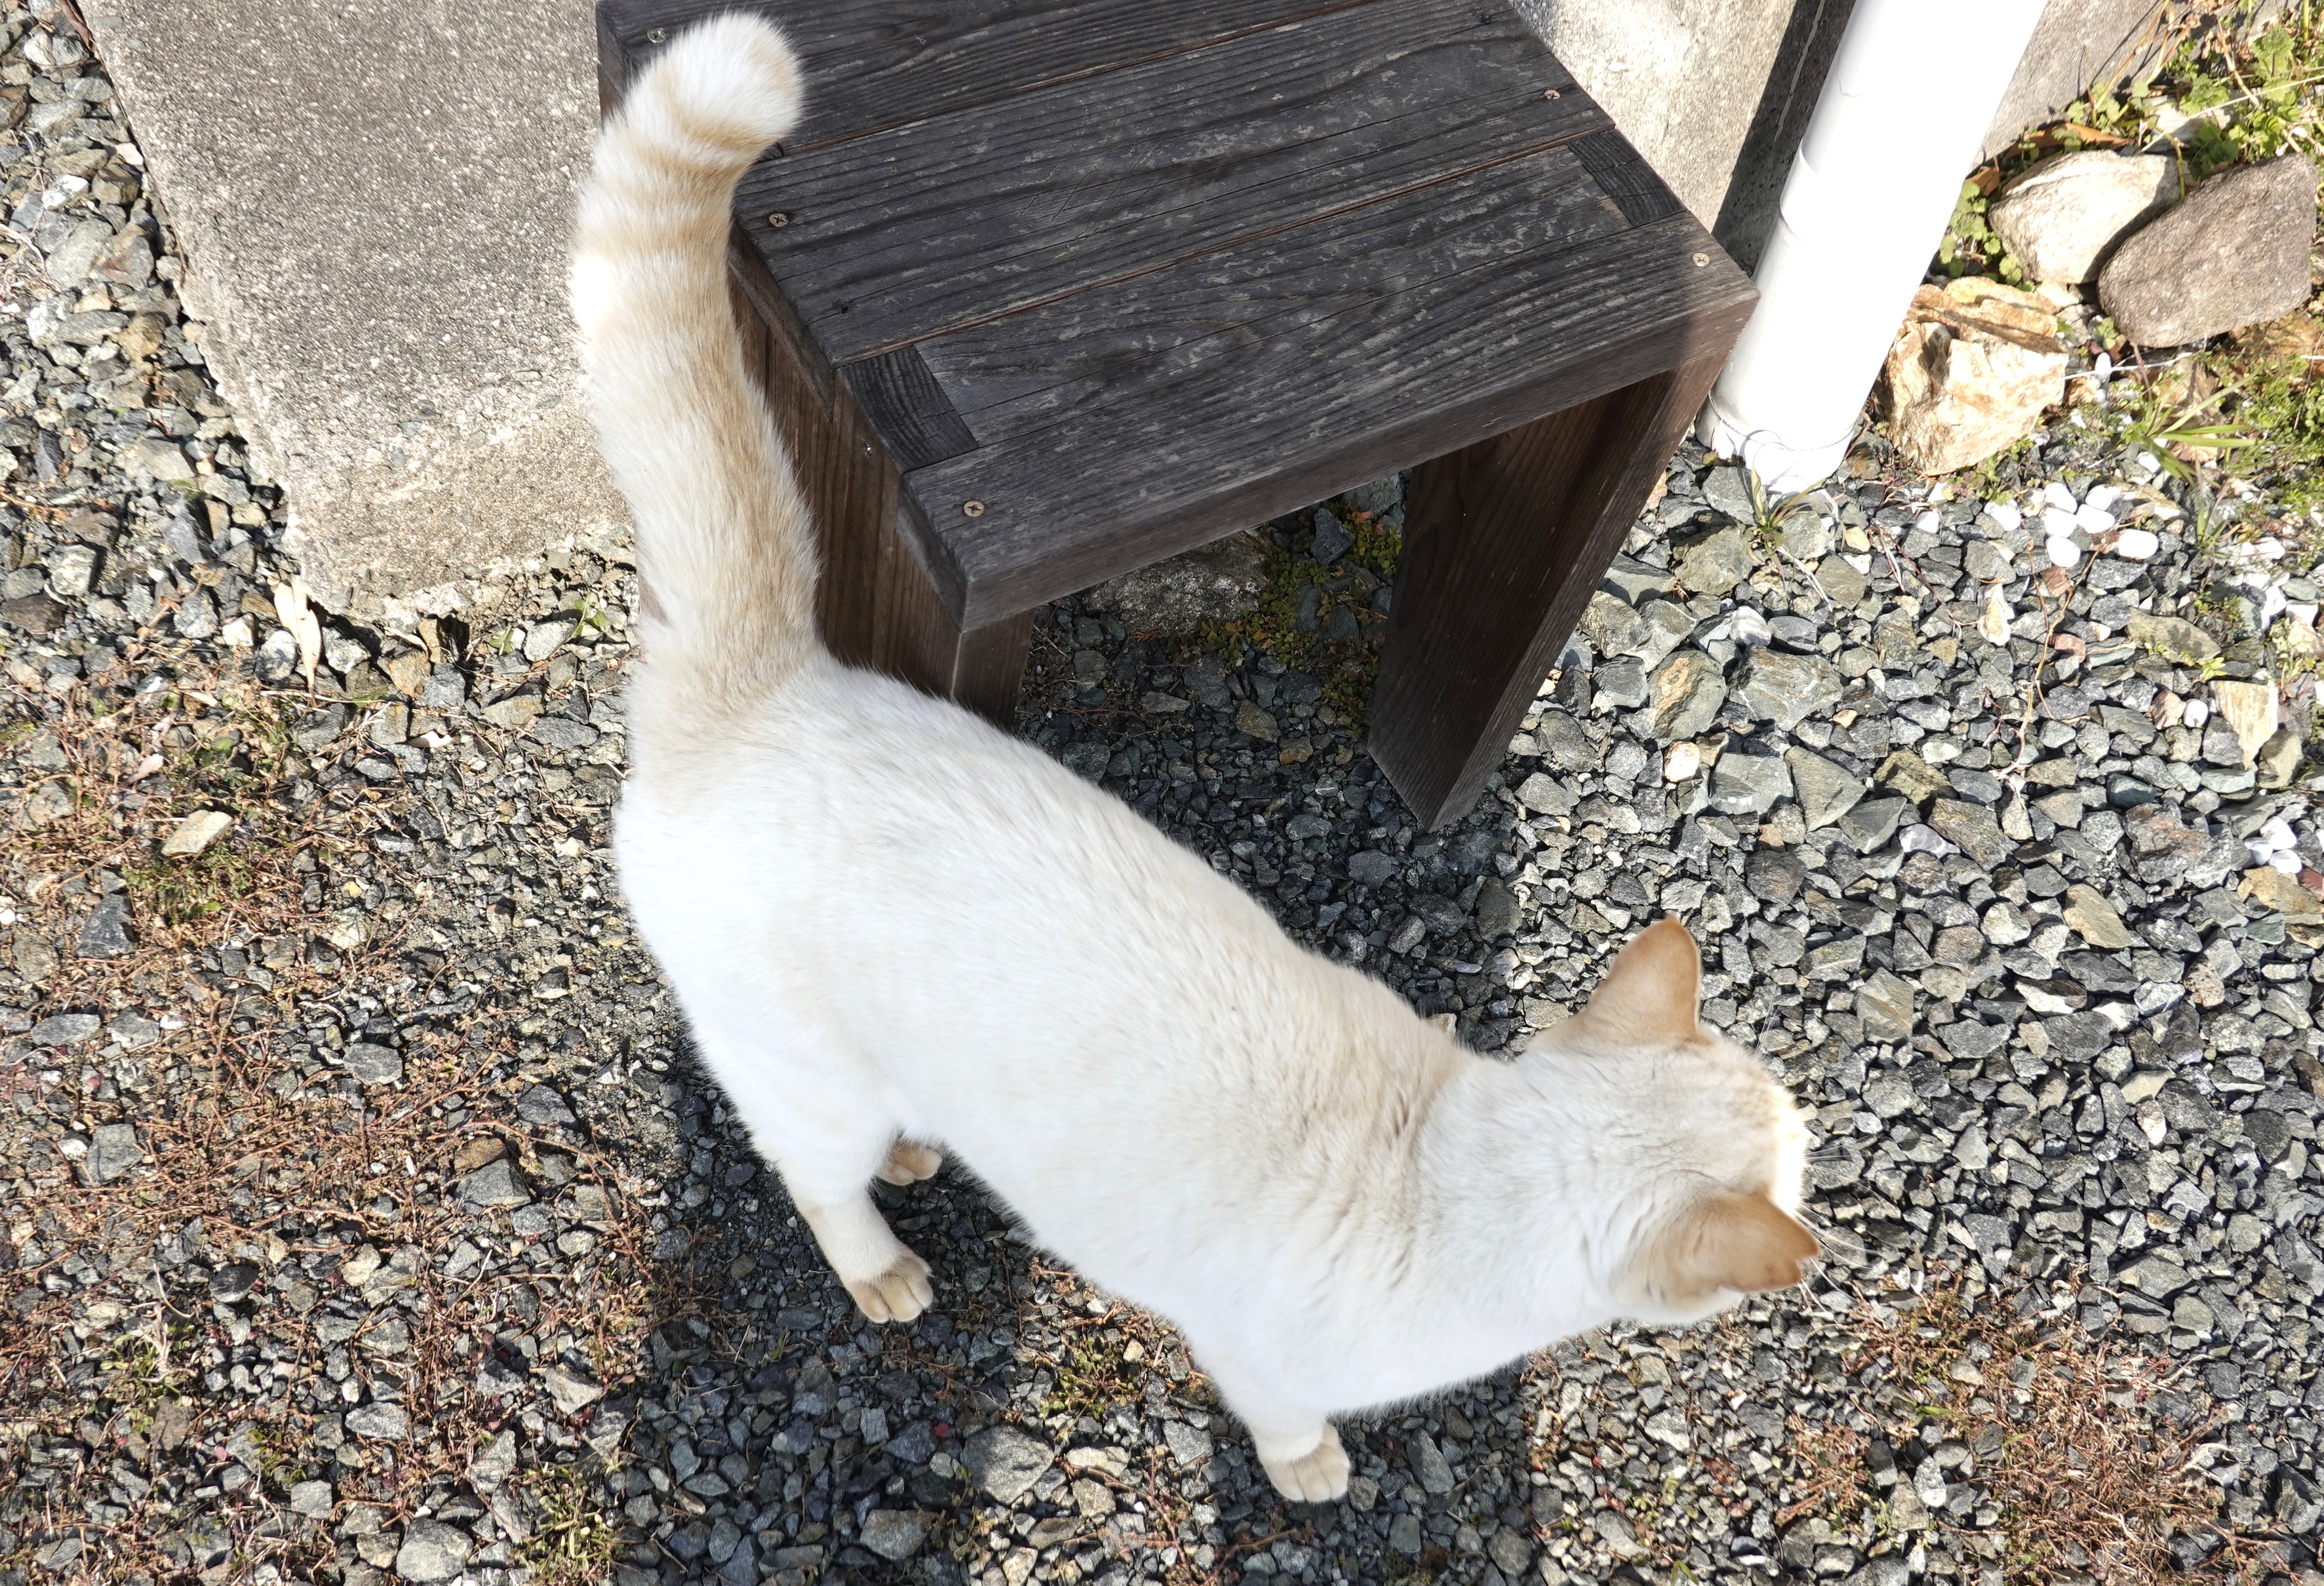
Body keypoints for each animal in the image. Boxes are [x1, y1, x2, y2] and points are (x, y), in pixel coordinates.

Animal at [570, 14, 1816, 1504]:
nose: (1819, 1194)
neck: (1445, 1172)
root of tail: (767, 682)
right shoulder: (1256, 1356)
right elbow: (1284, 1420)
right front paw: (1313, 1471)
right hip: (804, 1076)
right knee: (813, 1174)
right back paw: (882, 1265)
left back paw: (929, 1144)